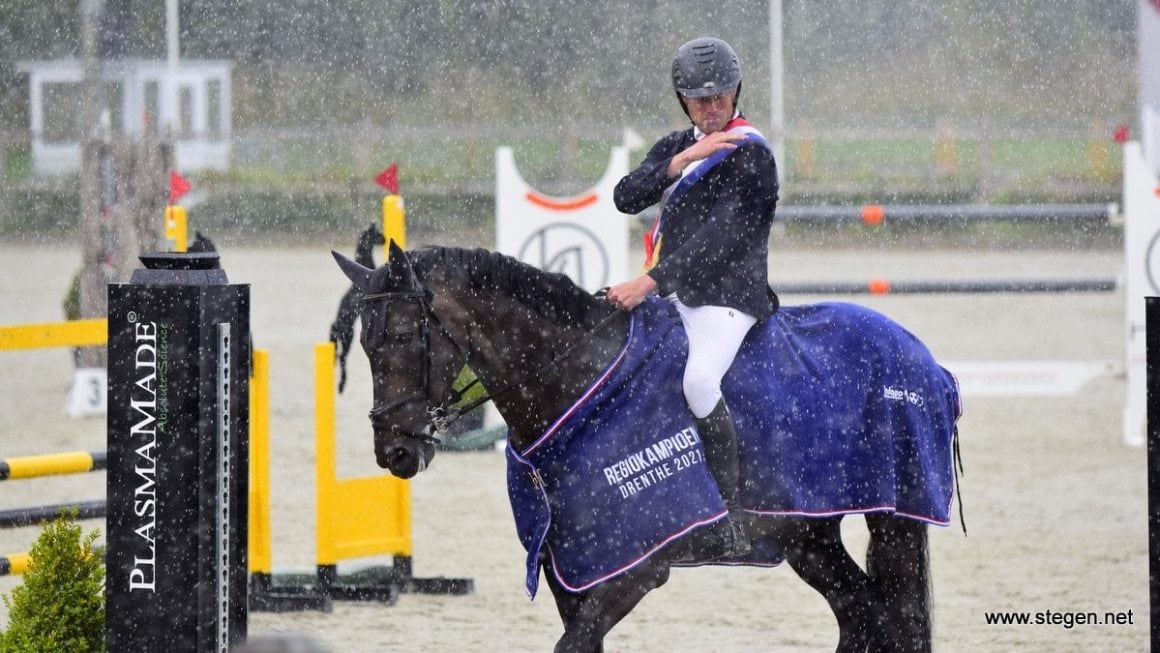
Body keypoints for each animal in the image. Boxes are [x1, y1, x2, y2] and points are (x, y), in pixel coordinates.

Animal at [334, 243, 960, 653]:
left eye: (398, 336)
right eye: (361, 343)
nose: (394, 453)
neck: (583, 383)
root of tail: (928, 361)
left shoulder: (634, 569)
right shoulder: (573, 573)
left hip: (892, 518)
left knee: (885, 617)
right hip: (808, 536)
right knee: (863, 614)